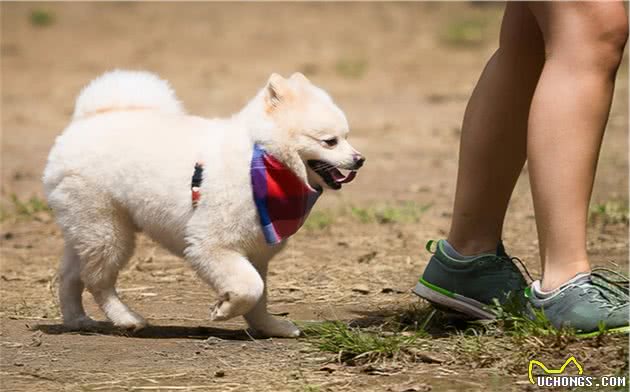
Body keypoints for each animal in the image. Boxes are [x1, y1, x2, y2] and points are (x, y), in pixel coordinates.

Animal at [44, 70, 366, 336]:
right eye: (330, 141)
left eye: (347, 137)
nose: (360, 159)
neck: (261, 160)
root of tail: (87, 119)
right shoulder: (211, 245)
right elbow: (250, 288)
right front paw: (223, 310)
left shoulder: (256, 251)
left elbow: (259, 297)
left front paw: (269, 327)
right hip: (108, 231)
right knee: (97, 281)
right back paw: (126, 318)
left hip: (86, 229)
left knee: (70, 276)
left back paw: (77, 320)